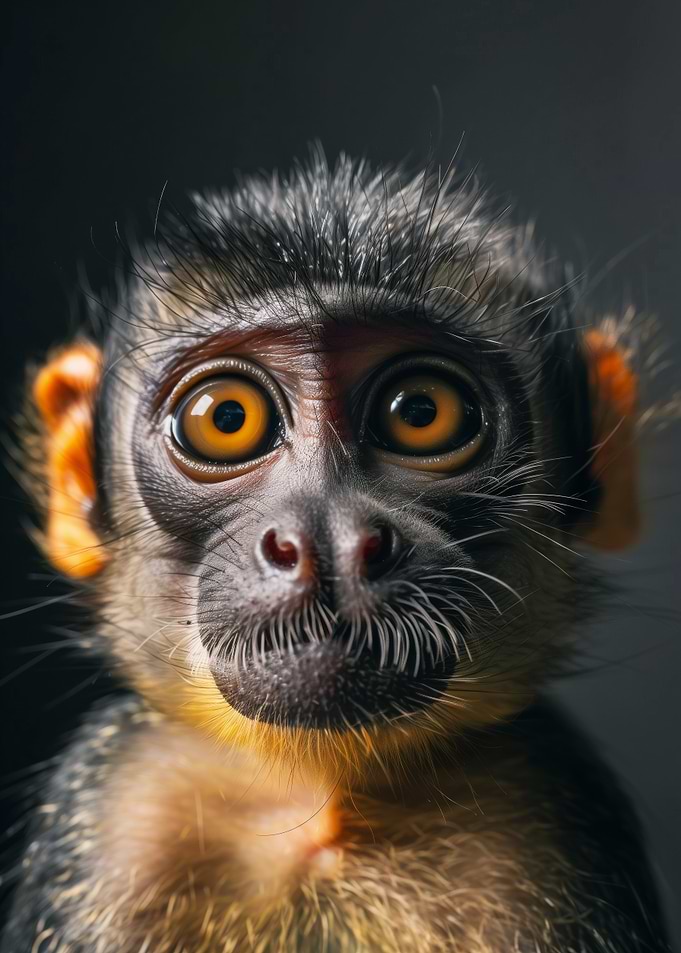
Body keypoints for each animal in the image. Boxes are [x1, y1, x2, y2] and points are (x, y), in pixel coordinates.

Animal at [0, 151, 673, 953]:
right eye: (227, 418)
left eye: (421, 411)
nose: (326, 540)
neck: (322, 810)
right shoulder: (120, 812)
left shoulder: (549, 822)